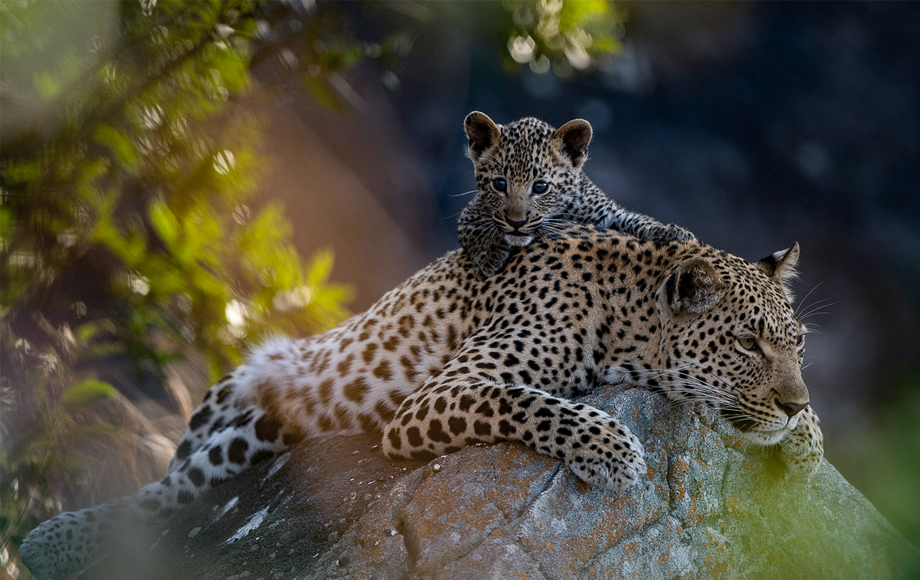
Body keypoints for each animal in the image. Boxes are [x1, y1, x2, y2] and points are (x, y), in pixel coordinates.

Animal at [18, 224, 824, 576]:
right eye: (747, 343)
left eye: (795, 343)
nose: (788, 403)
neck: (625, 319)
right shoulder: (438, 396)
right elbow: (532, 402)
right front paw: (612, 448)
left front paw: (807, 442)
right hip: (236, 407)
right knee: (167, 491)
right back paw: (53, 541)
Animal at [456, 112, 692, 280]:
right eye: (500, 184)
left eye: (540, 187)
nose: (516, 223)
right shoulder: (472, 210)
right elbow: (476, 228)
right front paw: (488, 255)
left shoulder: (606, 214)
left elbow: (635, 220)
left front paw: (670, 232)